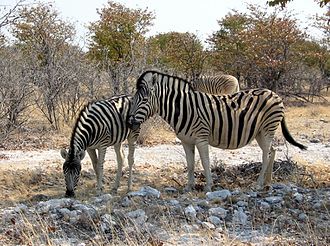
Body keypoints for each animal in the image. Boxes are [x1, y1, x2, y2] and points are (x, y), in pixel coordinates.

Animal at [128, 69, 306, 192]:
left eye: (144, 100)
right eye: (134, 99)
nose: (129, 122)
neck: (184, 109)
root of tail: (275, 94)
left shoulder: (201, 138)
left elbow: (205, 162)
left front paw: (208, 186)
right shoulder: (186, 141)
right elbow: (190, 164)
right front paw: (189, 187)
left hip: (268, 127)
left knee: (265, 154)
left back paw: (258, 184)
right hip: (260, 132)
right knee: (272, 151)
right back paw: (268, 182)